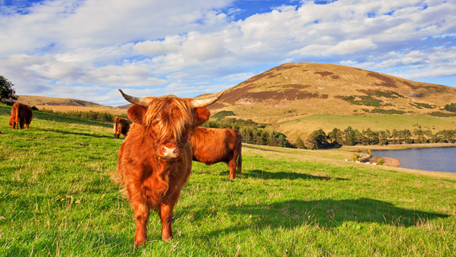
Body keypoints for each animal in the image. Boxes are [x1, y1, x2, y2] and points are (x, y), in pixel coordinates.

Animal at [116, 89, 222, 245]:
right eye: (155, 121)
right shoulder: (134, 185)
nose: (170, 150)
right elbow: (142, 213)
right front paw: (140, 241)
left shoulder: (175, 187)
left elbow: (166, 213)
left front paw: (167, 238)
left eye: (185, 124)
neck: (159, 167)